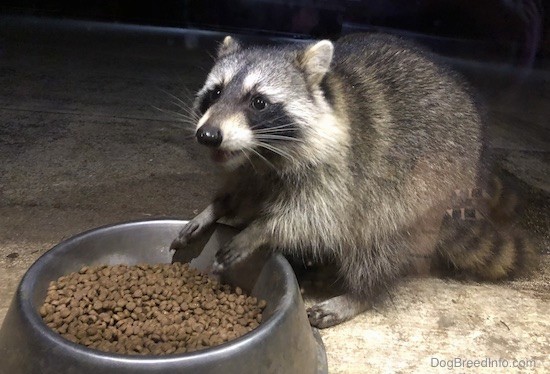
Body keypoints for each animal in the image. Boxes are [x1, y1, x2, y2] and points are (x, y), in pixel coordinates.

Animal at [171, 33, 540, 328]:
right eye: (215, 92)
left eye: (258, 102)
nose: (208, 135)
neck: (265, 152)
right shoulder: (251, 167)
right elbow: (243, 191)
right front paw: (214, 210)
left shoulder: (346, 172)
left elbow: (315, 218)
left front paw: (261, 230)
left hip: (424, 190)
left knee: (376, 240)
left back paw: (361, 293)